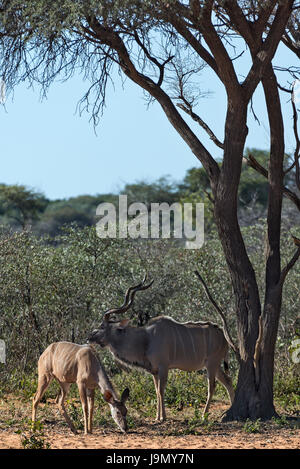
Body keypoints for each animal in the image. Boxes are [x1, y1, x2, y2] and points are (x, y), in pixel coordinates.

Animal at [86, 274, 234, 420]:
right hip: (215, 365)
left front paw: (163, 417)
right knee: (228, 380)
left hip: (211, 363)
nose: (89, 337)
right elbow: (157, 391)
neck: (146, 338)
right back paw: (231, 407)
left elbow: (161, 391)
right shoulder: (154, 371)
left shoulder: (163, 367)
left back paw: (204, 415)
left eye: (102, 326)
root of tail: (223, 335)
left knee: (212, 386)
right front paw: (157, 417)